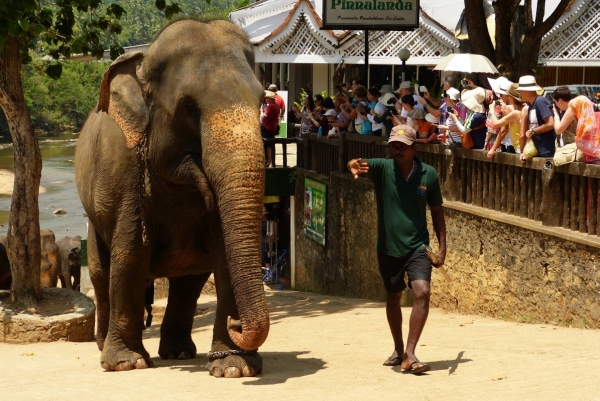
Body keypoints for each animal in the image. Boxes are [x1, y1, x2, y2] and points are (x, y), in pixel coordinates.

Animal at [74, 18, 270, 376]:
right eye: (188, 107)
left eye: (262, 102)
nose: (237, 323)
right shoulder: (125, 175)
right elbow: (130, 256)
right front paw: (127, 364)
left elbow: (225, 256)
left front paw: (234, 367)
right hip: (93, 217)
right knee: (100, 272)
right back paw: (103, 346)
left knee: (189, 281)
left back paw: (178, 353)